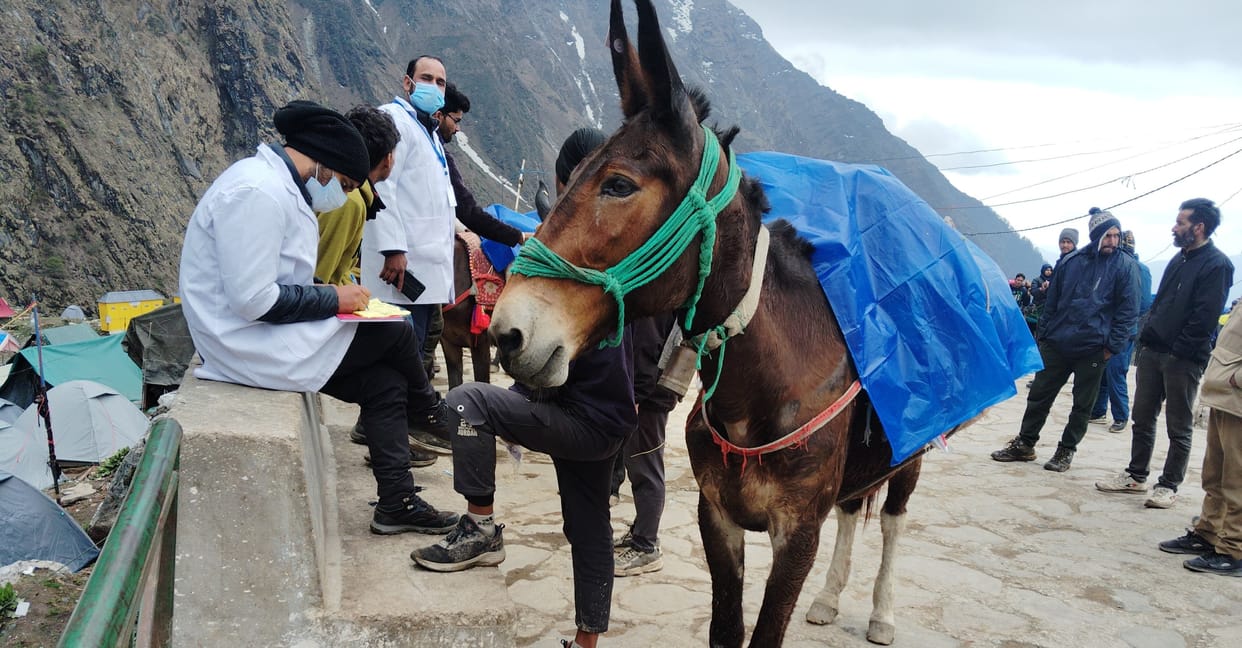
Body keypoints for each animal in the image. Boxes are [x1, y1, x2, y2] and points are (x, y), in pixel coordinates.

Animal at [489, 1, 933, 646]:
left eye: (617, 184)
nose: (506, 332)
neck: (766, 385)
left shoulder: (797, 534)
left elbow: (766, 630)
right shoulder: (716, 516)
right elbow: (725, 629)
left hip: (912, 457)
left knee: (894, 522)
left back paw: (881, 613)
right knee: (854, 509)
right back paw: (829, 600)